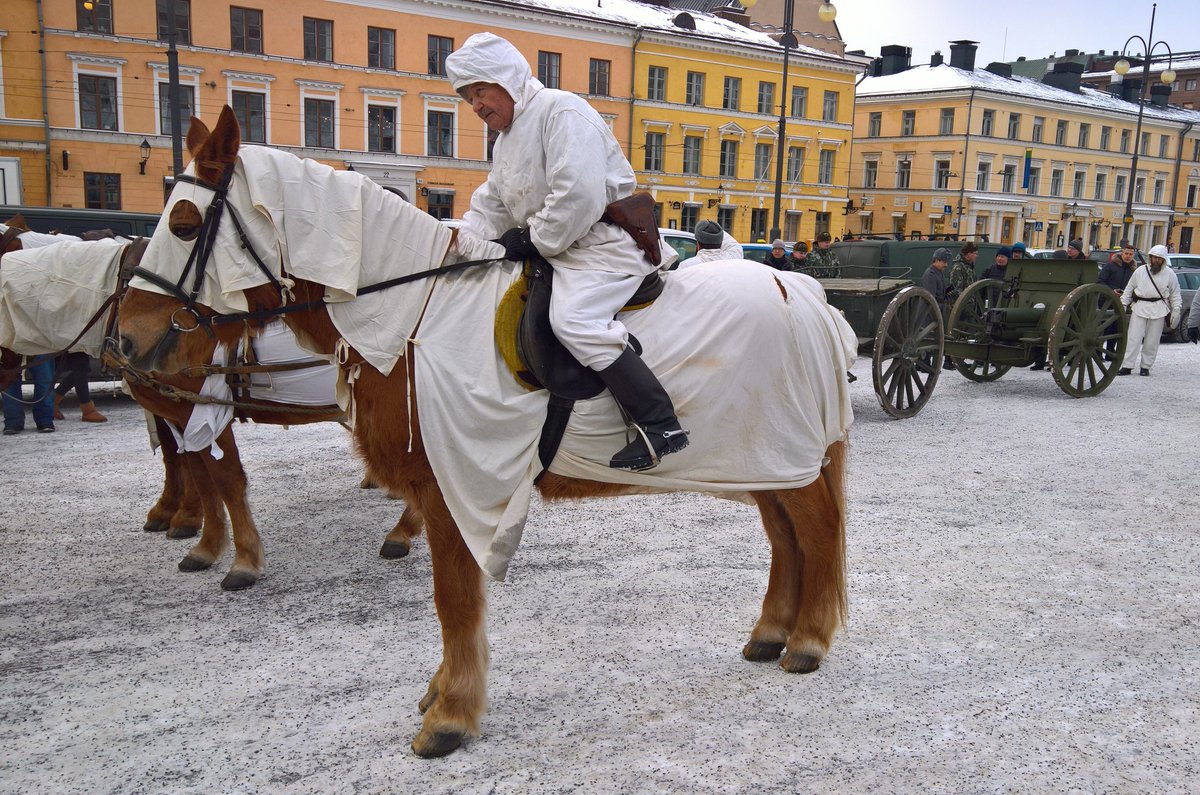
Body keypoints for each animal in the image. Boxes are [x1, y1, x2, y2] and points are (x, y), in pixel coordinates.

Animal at [114, 107, 844, 758]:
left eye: (183, 223)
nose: (128, 337)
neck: (412, 314)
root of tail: (805, 295)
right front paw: (439, 694)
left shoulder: (452, 489)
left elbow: (454, 602)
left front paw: (451, 715)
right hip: (764, 460)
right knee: (786, 538)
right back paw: (772, 631)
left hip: (787, 460)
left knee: (814, 531)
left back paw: (806, 640)